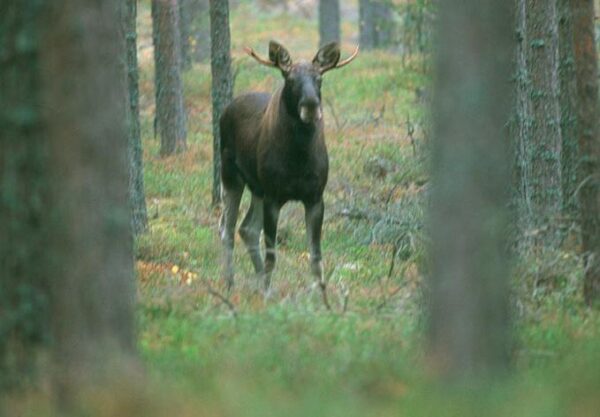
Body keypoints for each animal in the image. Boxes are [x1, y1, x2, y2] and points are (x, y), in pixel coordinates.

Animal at [219, 40, 356, 290]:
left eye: (319, 78)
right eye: (290, 79)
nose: (311, 105)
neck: (298, 158)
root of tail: (225, 110)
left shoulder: (315, 198)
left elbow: (316, 258)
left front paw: (320, 295)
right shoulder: (274, 197)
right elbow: (272, 257)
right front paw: (266, 293)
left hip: (258, 189)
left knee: (247, 228)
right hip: (230, 175)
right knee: (227, 229)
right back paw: (230, 283)